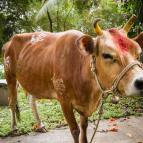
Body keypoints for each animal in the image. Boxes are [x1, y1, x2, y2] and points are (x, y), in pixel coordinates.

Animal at [2, 15, 143, 142]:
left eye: (139, 53)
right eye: (106, 55)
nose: (141, 81)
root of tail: (9, 42)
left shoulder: (84, 106)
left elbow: (84, 127)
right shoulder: (64, 100)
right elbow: (75, 130)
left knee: (31, 100)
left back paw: (40, 125)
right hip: (10, 76)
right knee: (12, 102)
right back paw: (14, 128)